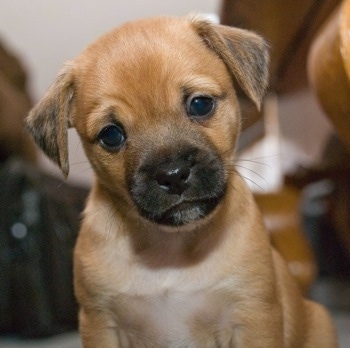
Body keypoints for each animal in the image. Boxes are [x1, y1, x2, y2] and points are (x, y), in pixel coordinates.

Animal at [24, 14, 336, 346]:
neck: (172, 248)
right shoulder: (100, 322)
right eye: (111, 135)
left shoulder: (252, 316)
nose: (173, 175)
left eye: (200, 104)